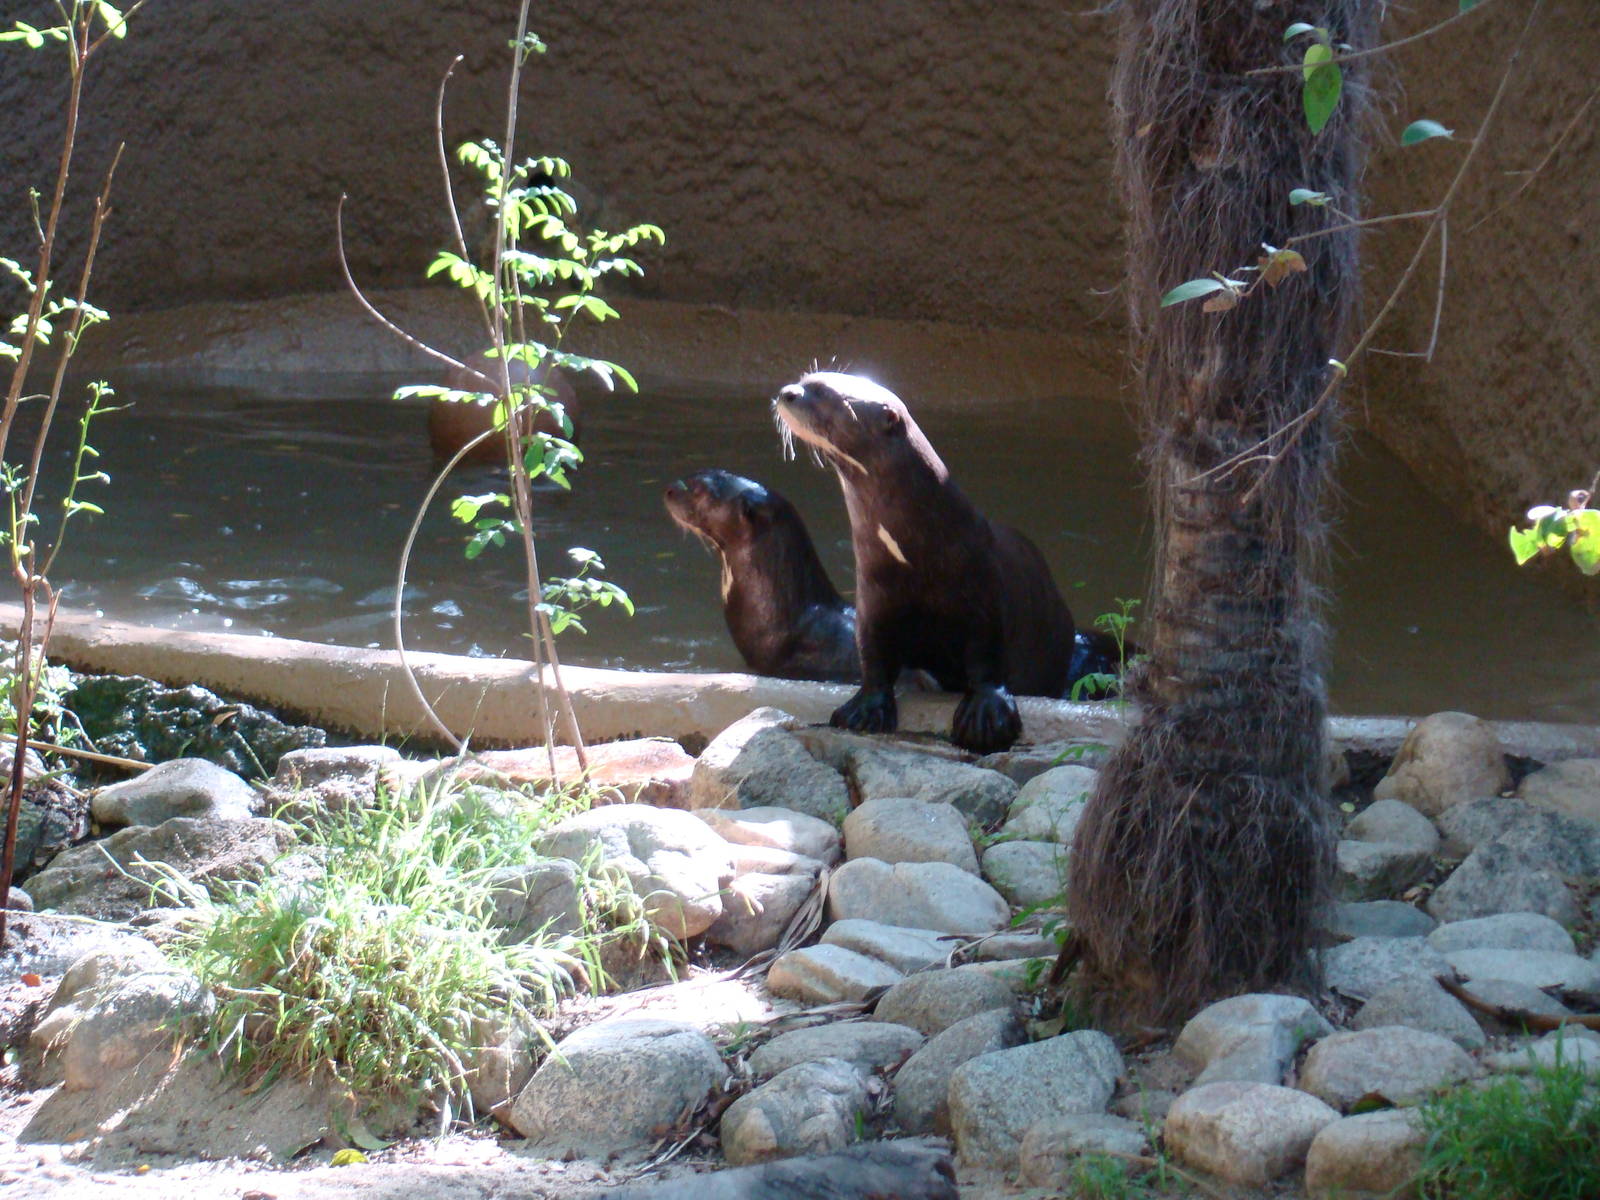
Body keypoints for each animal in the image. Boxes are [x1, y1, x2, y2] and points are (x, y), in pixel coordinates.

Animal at [773, 371, 1076, 753]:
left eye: (824, 392)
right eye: (806, 379)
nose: (787, 393)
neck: (918, 556)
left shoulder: (984, 591)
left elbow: (987, 655)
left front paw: (986, 714)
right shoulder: (873, 598)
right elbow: (872, 654)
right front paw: (864, 709)